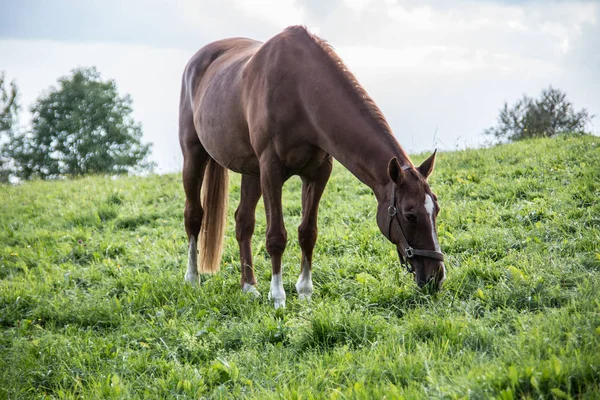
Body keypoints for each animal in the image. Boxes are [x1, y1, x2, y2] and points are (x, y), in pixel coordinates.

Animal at [178, 25, 446, 308]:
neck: (301, 90)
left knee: (243, 222)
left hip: (251, 172)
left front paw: (305, 291)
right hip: (194, 156)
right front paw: (278, 297)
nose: (436, 277)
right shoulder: (271, 170)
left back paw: (249, 287)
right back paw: (193, 279)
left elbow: (308, 232)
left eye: (436, 210)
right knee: (194, 216)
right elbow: (276, 236)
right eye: (409, 214)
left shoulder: (317, 173)